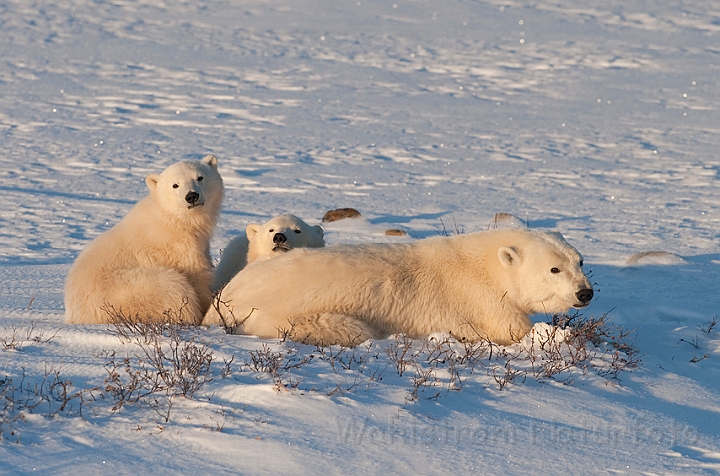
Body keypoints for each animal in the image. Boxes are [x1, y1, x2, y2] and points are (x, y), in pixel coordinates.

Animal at [65, 154, 224, 326]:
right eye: (175, 185)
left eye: (200, 177)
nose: (192, 196)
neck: (172, 218)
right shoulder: (176, 247)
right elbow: (198, 275)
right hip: (134, 288)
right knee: (172, 287)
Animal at [201, 228, 592, 346]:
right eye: (554, 268)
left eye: (580, 261)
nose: (585, 293)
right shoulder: (481, 301)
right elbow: (511, 331)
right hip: (282, 316)